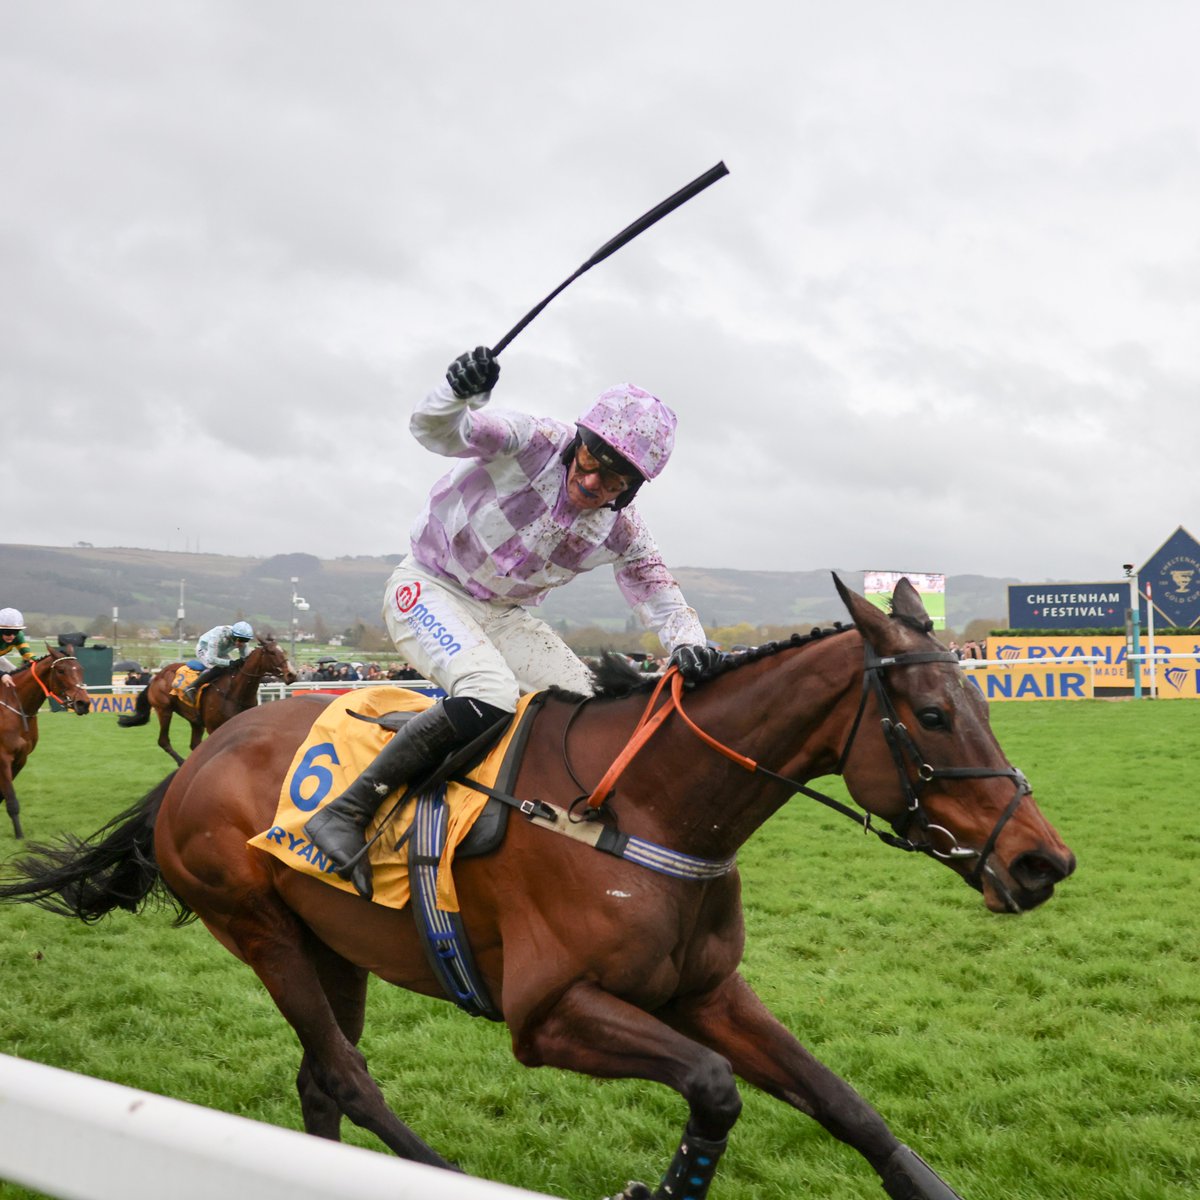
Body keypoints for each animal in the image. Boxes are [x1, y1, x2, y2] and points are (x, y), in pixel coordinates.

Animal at [0, 652, 91, 840]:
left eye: (81, 669)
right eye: (61, 670)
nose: (83, 703)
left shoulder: (21, 758)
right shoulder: (3, 757)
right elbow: (11, 799)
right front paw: (19, 835)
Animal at [116, 633, 295, 763]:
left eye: (284, 651)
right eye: (271, 652)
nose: (292, 674)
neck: (235, 691)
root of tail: (156, 677)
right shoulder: (214, 727)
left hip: (194, 719)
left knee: (194, 744)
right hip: (164, 709)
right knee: (163, 741)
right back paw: (181, 763)